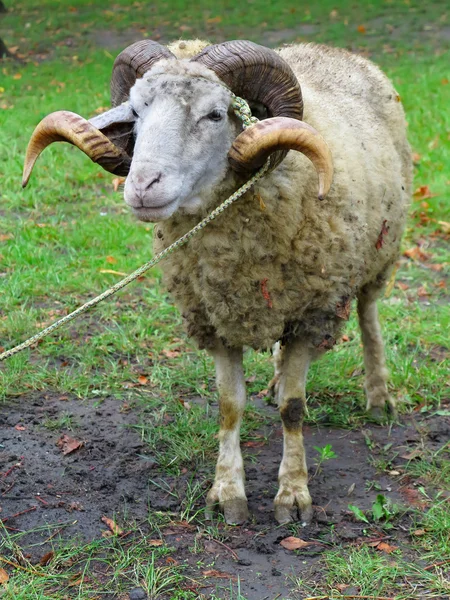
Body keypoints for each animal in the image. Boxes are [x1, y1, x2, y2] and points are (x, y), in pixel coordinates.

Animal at [22, 38, 414, 524]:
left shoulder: (313, 314)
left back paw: (378, 396)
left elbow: (294, 409)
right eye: (136, 111)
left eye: (214, 114)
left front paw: (293, 493)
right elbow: (230, 407)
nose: (142, 185)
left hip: (380, 252)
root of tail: (328, 48)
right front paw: (227, 491)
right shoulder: (215, 315)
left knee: (368, 315)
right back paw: (278, 379)